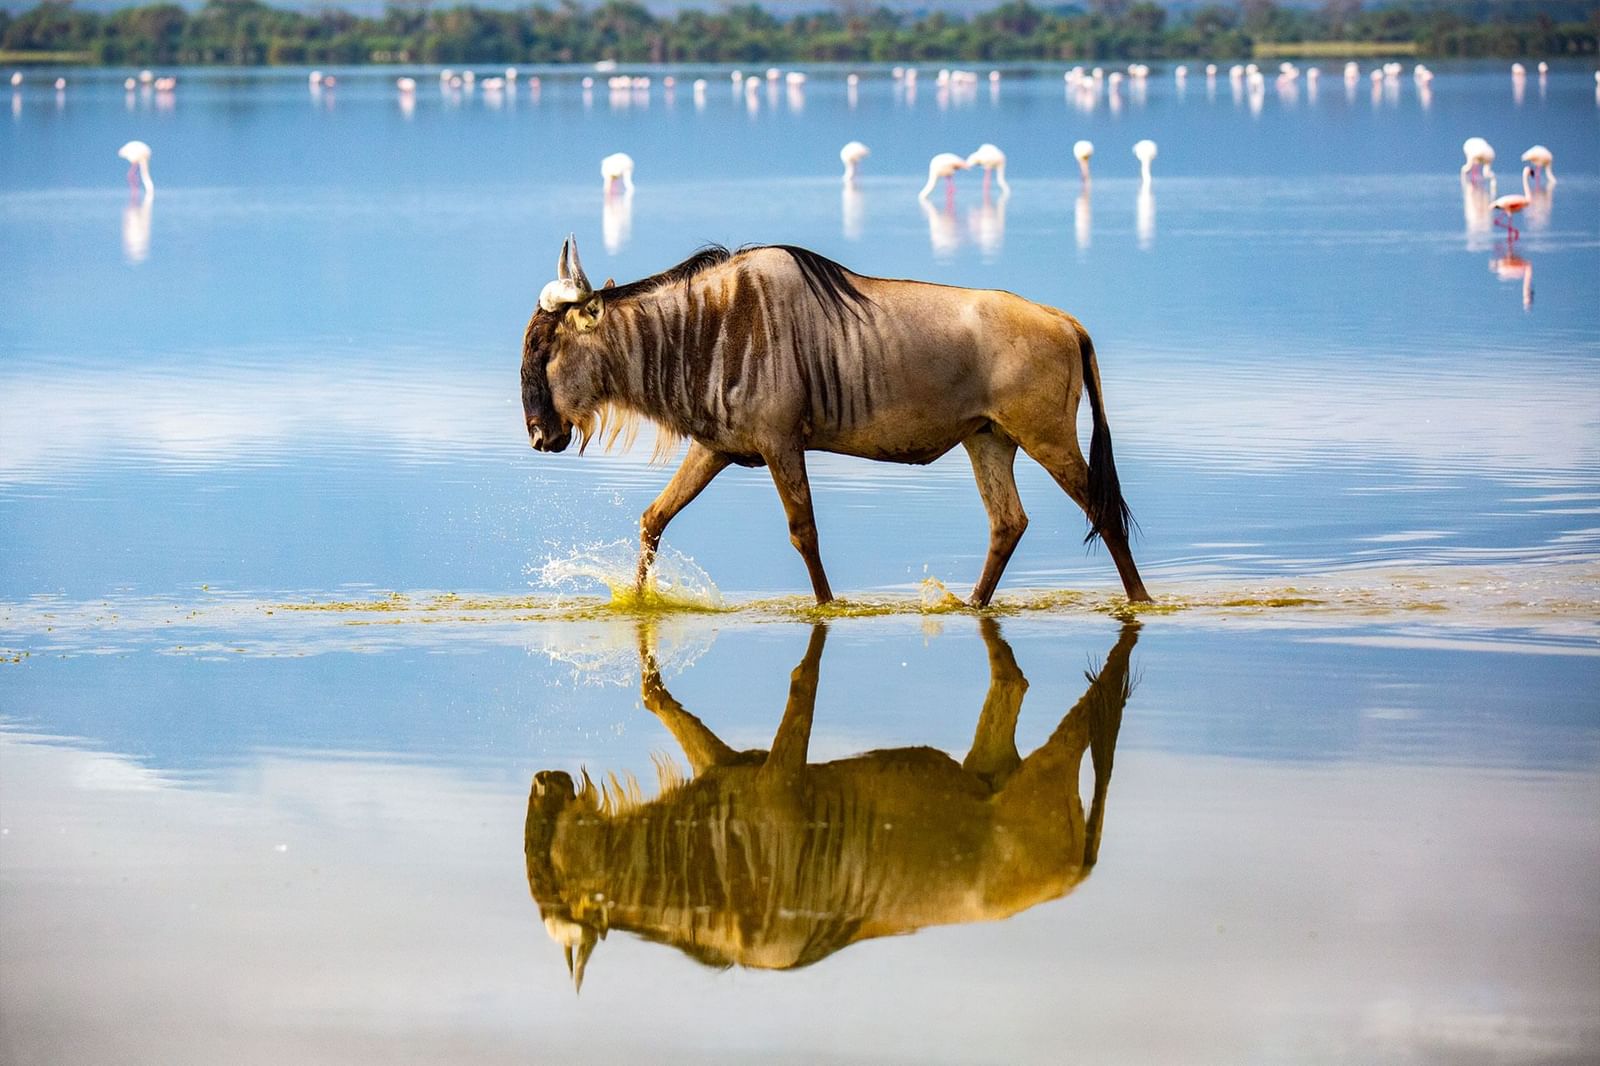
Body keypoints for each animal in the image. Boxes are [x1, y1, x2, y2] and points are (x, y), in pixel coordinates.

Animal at [521, 236, 1151, 606]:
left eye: (543, 347)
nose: (539, 437)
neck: (705, 329)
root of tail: (1064, 320)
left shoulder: (780, 444)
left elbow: (804, 532)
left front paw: (828, 607)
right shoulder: (716, 448)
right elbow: (654, 517)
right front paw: (636, 603)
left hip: (1048, 437)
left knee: (1102, 511)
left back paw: (1141, 601)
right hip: (989, 441)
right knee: (1008, 522)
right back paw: (973, 603)